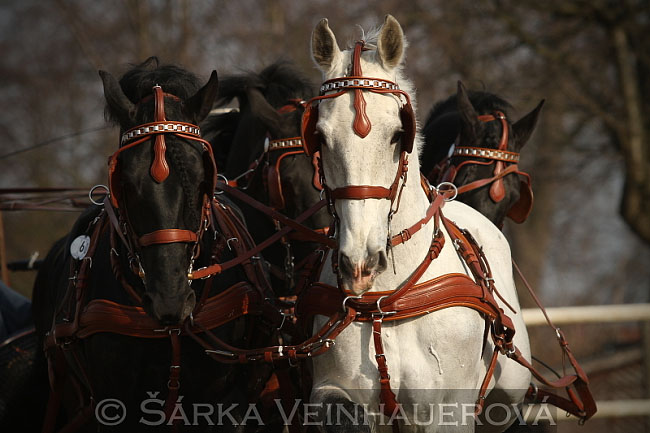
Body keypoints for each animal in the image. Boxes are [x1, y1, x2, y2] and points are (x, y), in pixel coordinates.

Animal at [302, 15, 528, 430]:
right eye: (320, 137)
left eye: (397, 135)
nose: (360, 263)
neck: (386, 301)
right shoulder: (333, 388)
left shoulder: (450, 409)